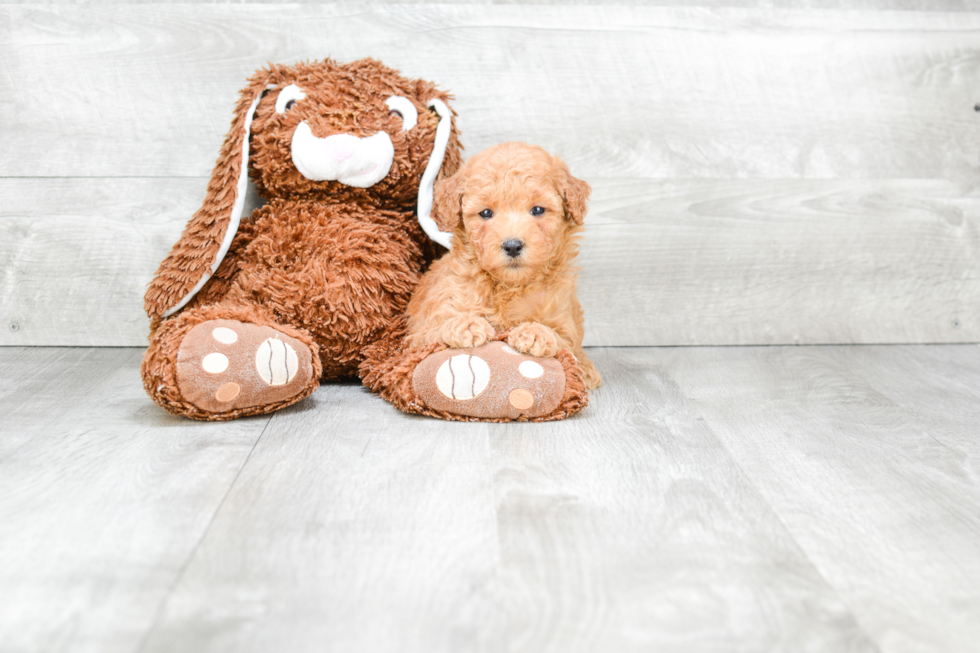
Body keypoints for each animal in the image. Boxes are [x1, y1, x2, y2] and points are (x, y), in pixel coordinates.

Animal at [402, 142, 600, 388]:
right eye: (486, 213)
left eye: (537, 210)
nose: (513, 245)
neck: (509, 286)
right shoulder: (418, 334)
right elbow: (432, 332)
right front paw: (466, 324)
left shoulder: (564, 321)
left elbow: (565, 343)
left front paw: (536, 332)